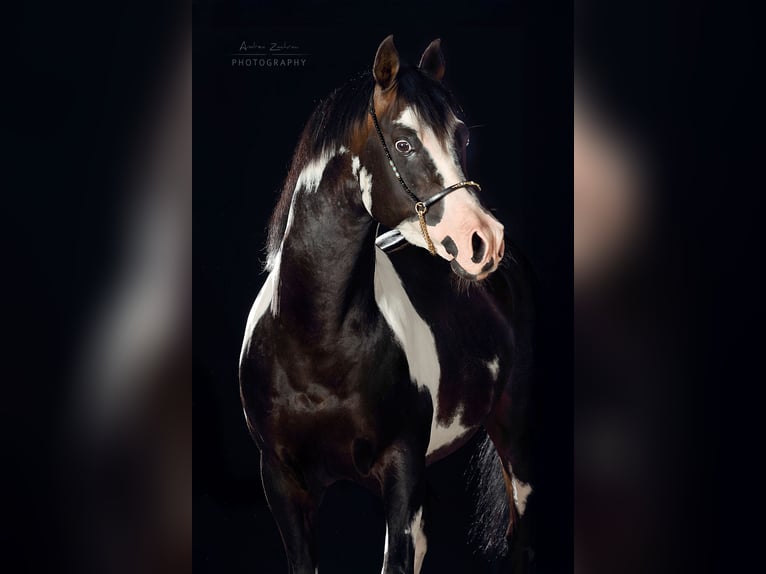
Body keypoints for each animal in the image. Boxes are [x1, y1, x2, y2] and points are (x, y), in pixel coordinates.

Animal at [239, 36, 536, 573]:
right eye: (403, 144)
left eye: (461, 138)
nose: (485, 240)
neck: (314, 342)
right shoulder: (281, 484)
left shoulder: (401, 477)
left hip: (514, 437)